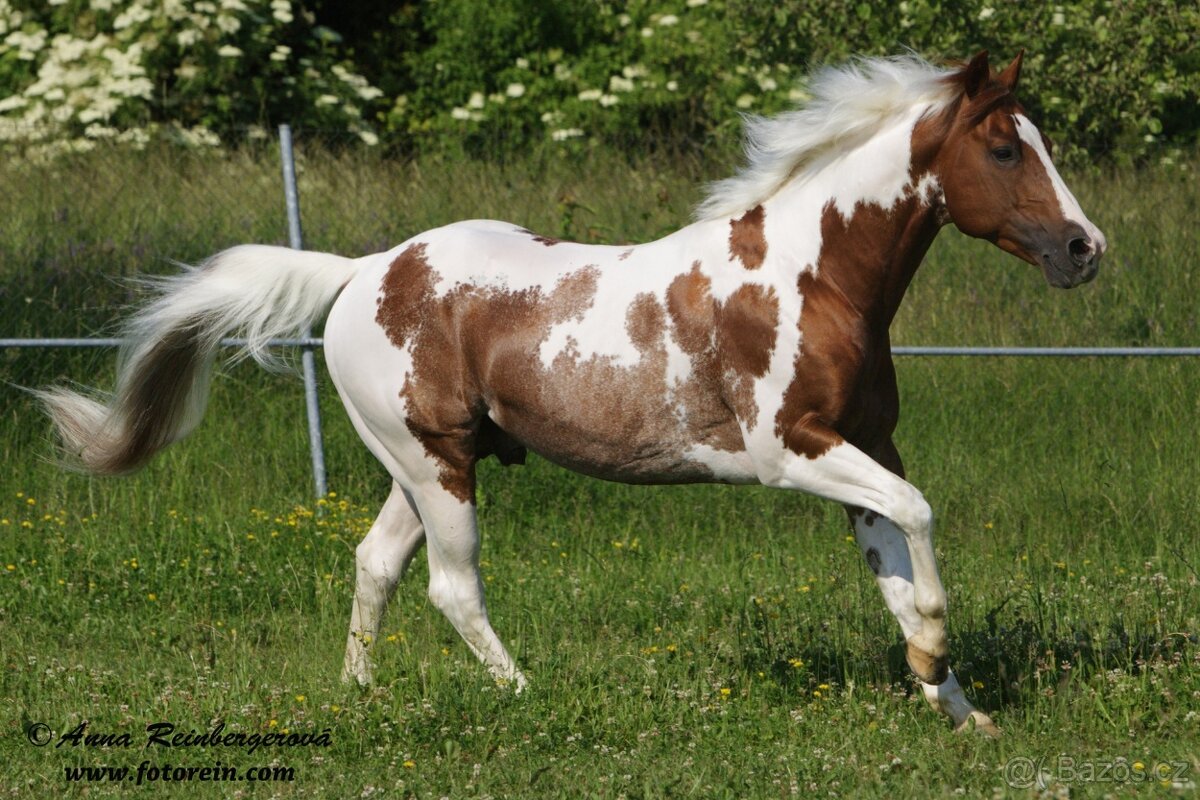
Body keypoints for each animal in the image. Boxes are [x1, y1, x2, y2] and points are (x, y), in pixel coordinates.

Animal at [37, 51, 1104, 736]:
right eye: (1005, 149)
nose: (1085, 250)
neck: (815, 277)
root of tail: (363, 271)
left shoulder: (865, 449)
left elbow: (893, 565)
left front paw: (957, 707)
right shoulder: (790, 452)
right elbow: (918, 521)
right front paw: (938, 664)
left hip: (421, 462)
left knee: (374, 564)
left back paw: (359, 699)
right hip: (437, 463)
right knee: (450, 584)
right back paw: (522, 695)